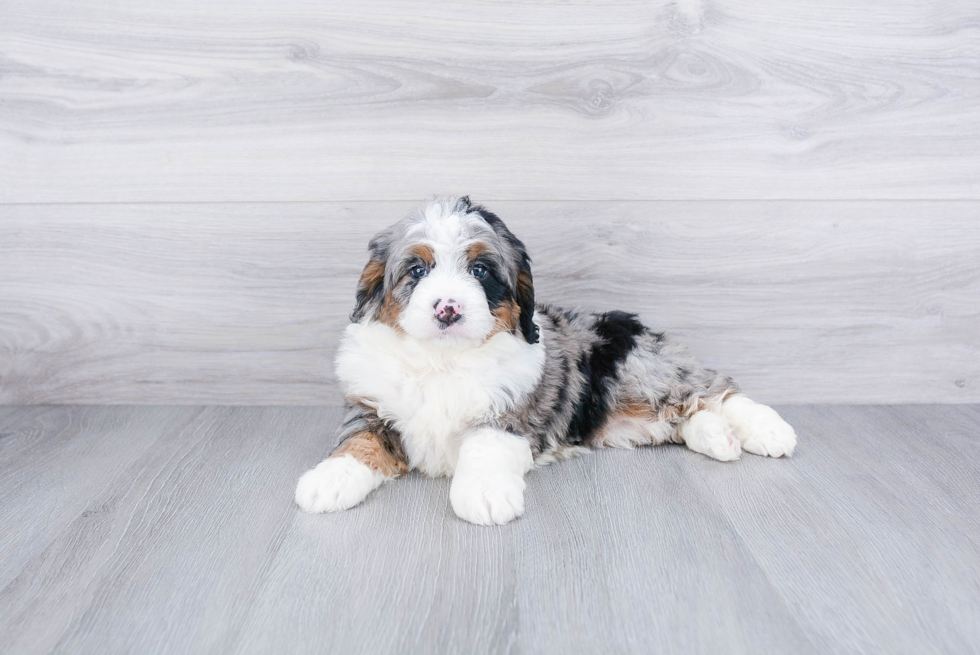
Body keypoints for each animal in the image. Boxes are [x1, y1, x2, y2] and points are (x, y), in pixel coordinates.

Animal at [296, 197, 796, 524]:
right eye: (417, 271)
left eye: (480, 271)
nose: (448, 309)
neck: (443, 361)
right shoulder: (369, 409)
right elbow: (357, 444)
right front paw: (329, 480)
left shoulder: (512, 413)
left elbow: (484, 446)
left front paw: (484, 493)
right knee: (683, 418)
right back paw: (719, 439)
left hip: (644, 370)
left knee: (710, 391)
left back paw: (768, 430)